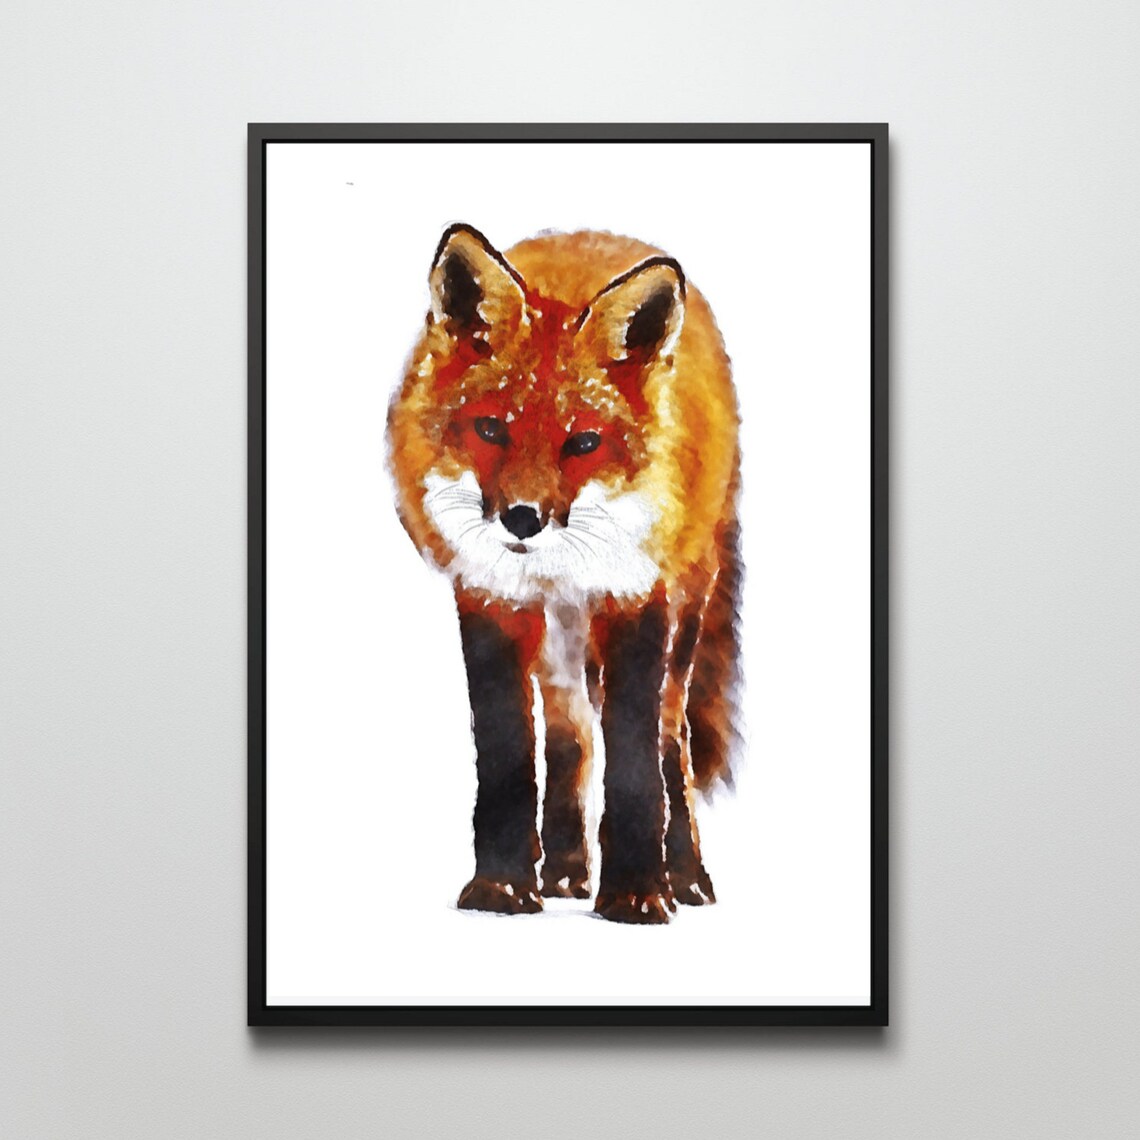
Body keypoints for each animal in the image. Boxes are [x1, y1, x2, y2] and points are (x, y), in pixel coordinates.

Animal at [387, 224, 740, 924]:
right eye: (490, 429)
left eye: (583, 443)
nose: (522, 519)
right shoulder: (491, 596)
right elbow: (507, 751)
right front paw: (500, 886)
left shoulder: (637, 595)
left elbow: (633, 757)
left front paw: (637, 892)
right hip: (560, 639)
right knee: (570, 733)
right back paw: (565, 869)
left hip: (685, 607)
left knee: (672, 738)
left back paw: (685, 874)